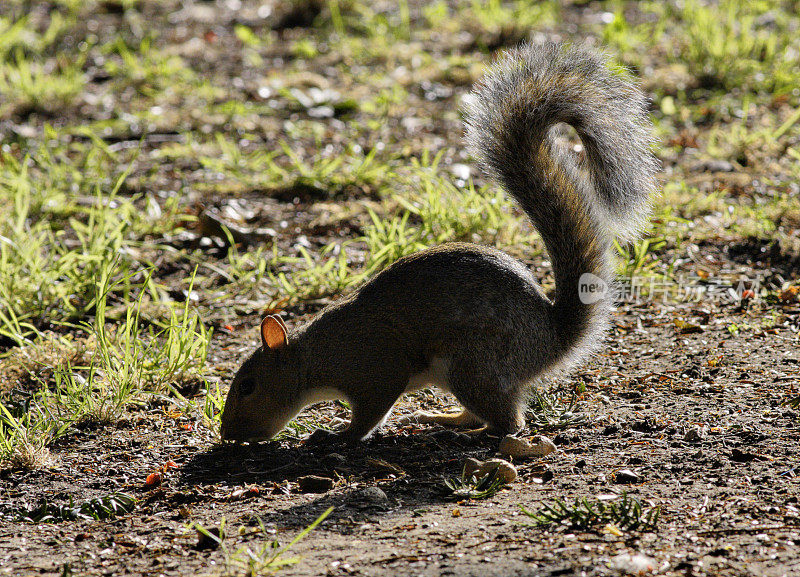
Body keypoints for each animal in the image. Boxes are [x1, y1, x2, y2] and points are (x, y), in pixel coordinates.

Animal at [219, 41, 656, 440]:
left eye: (247, 386)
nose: (226, 434)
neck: (315, 357)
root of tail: (549, 341)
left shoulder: (376, 370)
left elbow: (369, 414)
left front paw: (337, 435)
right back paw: (443, 418)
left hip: (471, 365)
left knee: (508, 423)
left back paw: (469, 432)